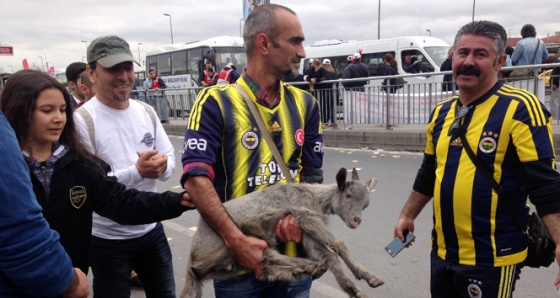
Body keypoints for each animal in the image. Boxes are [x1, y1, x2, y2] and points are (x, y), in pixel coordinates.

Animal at [182, 168, 382, 298]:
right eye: (348, 195)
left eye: (366, 204)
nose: (356, 220)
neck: (313, 198)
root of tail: (191, 261)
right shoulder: (303, 214)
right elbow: (337, 244)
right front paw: (368, 277)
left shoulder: (303, 229)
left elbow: (329, 255)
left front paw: (354, 289)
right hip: (229, 243)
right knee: (267, 255)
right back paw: (307, 266)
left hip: (228, 265)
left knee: (264, 267)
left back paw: (302, 270)